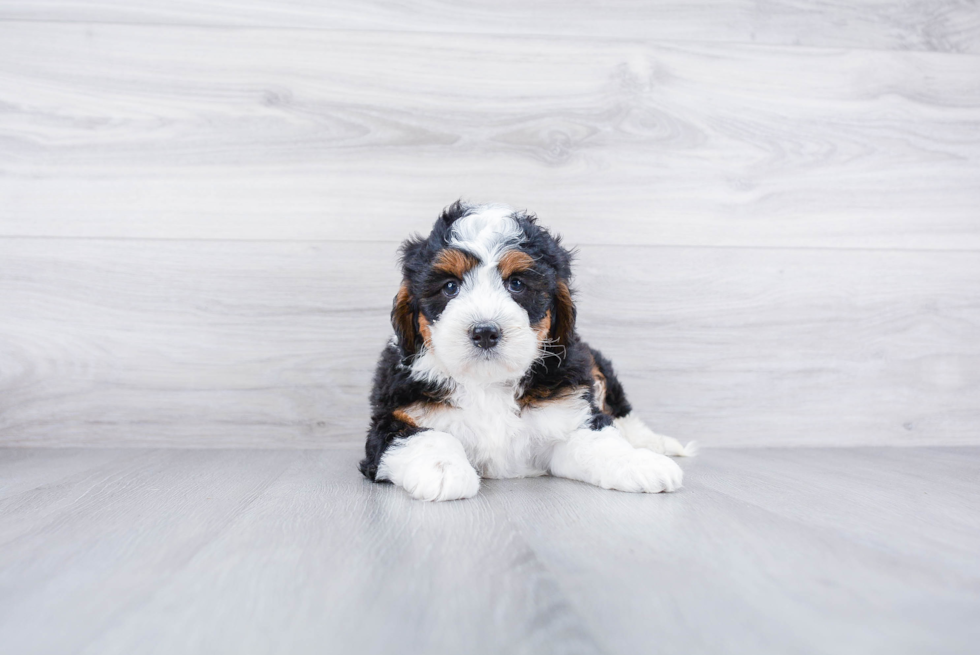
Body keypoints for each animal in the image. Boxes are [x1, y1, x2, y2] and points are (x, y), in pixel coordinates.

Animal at [360, 204, 696, 502]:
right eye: (450, 287)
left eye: (517, 284)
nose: (485, 332)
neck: (487, 383)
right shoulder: (392, 420)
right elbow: (424, 436)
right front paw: (443, 470)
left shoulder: (568, 415)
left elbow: (598, 440)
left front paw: (639, 463)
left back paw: (657, 444)